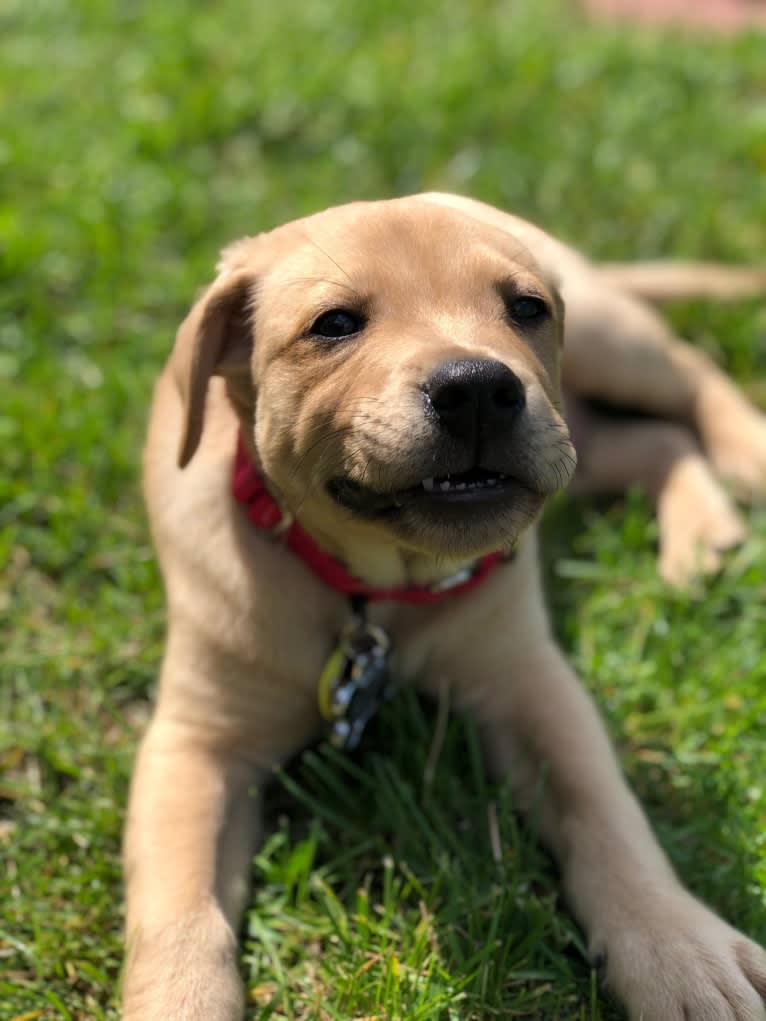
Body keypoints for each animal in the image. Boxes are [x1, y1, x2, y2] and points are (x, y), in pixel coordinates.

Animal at [126, 192, 766, 1021]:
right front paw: (179, 999)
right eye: (334, 324)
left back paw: (747, 454)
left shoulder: (531, 683)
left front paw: (679, 946)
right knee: (651, 440)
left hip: (606, 340)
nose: (478, 388)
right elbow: (178, 904)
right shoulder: (196, 741)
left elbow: (607, 812)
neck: (377, 591)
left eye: (525, 308)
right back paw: (702, 532)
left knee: (688, 373)